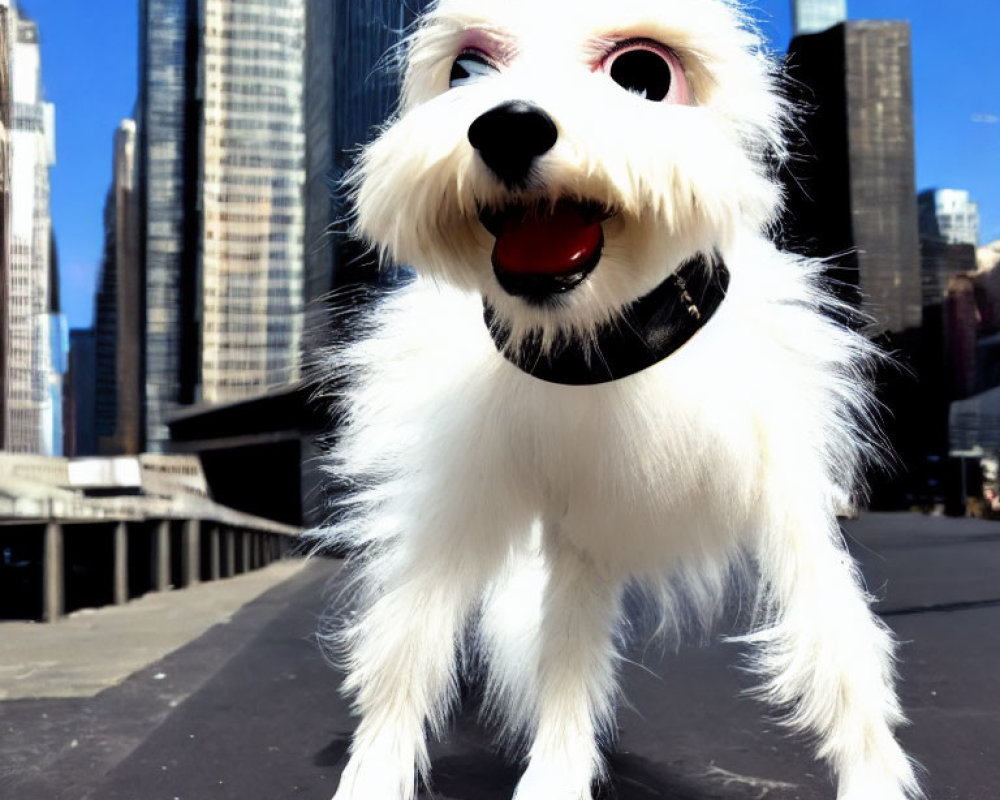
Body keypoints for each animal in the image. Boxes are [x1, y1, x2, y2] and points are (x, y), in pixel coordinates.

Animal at [322, 1, 920, 800]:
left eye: (644, 72)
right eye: (466, 70)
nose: (507, 126)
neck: (598, 351)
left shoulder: (783, 493)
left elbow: (836, 639)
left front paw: (874, 776)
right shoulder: (485, 501)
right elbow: (415, 643)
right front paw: (377, 773)